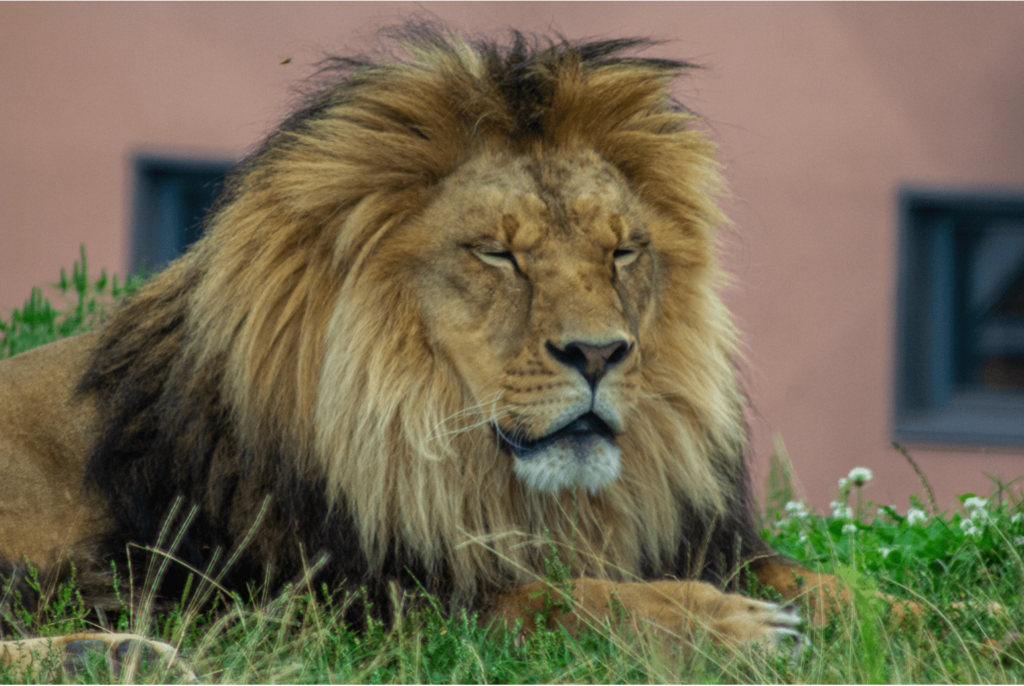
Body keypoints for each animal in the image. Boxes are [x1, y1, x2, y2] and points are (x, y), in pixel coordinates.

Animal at [0, 30, 846, 674]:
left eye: (622, 253)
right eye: (498, 254)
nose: (600, 354)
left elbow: (822, 581)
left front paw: (870, 611)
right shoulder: (352, 603)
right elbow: (563, 600)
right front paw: (736, 629)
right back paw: (116, 653)